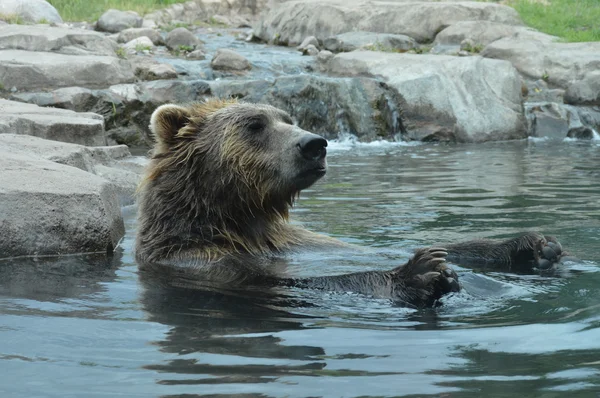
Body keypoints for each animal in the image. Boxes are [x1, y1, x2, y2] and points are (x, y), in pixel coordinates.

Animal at [135, 97, 564, 308]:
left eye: (286, 117)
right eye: (254, 125)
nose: (314, 143)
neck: (243, 217)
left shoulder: (300, 242)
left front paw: (532, 244)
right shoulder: (204, 259)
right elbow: (310, 282)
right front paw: (421, 273)